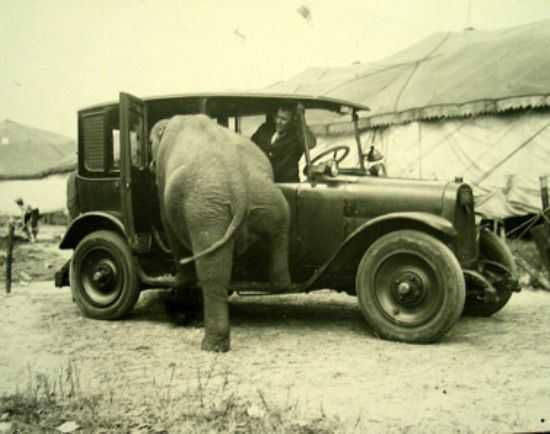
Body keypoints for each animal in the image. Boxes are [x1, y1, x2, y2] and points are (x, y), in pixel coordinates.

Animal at [149, 115, 292, 352]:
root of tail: (238, 183)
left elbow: (166, 220)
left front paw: (180, 281)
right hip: (265, 193)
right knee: (279, 229)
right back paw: (280, 285)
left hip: (205, 209)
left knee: (212, 271)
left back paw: (212, 345)